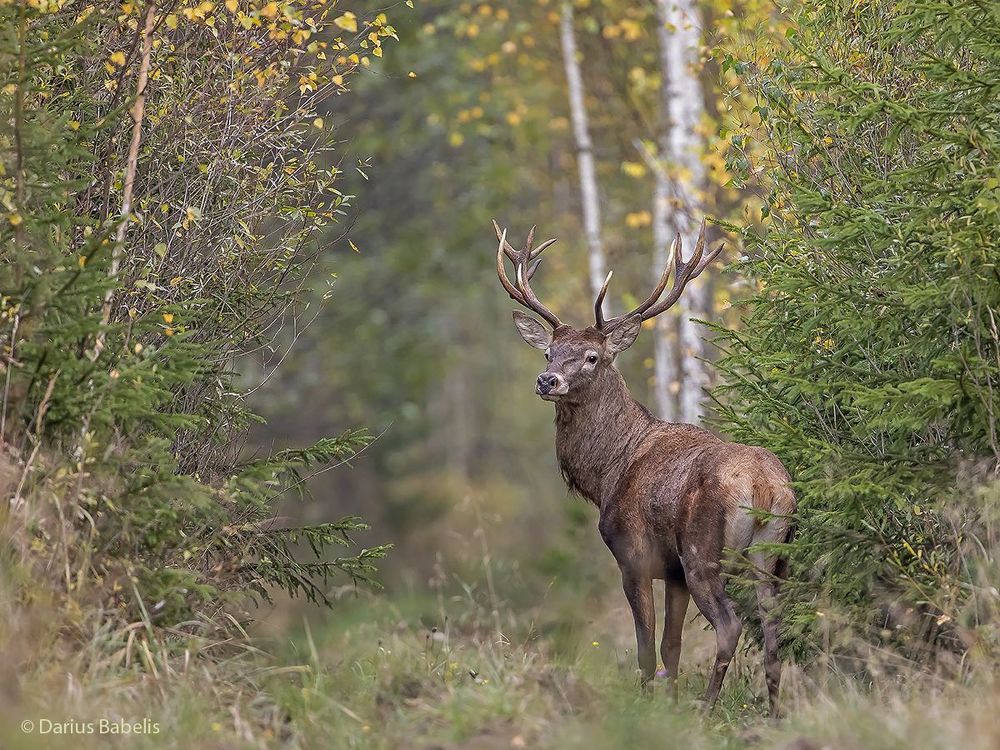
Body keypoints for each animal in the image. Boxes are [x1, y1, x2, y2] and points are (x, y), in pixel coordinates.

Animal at [493, 219, 796, 717]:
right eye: (548, 352)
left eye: (592, 357)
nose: (547, 380)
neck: (606, 473)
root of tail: (765, 487)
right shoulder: (672, 573)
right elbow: (671, 649)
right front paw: (666, 704)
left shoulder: (634, 555)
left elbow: (646, 648)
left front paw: (648, 707)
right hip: (774, 554)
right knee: (774, 628)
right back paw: (774, 714)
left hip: (702, 551)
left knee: (731, 626)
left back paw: (707, 708)